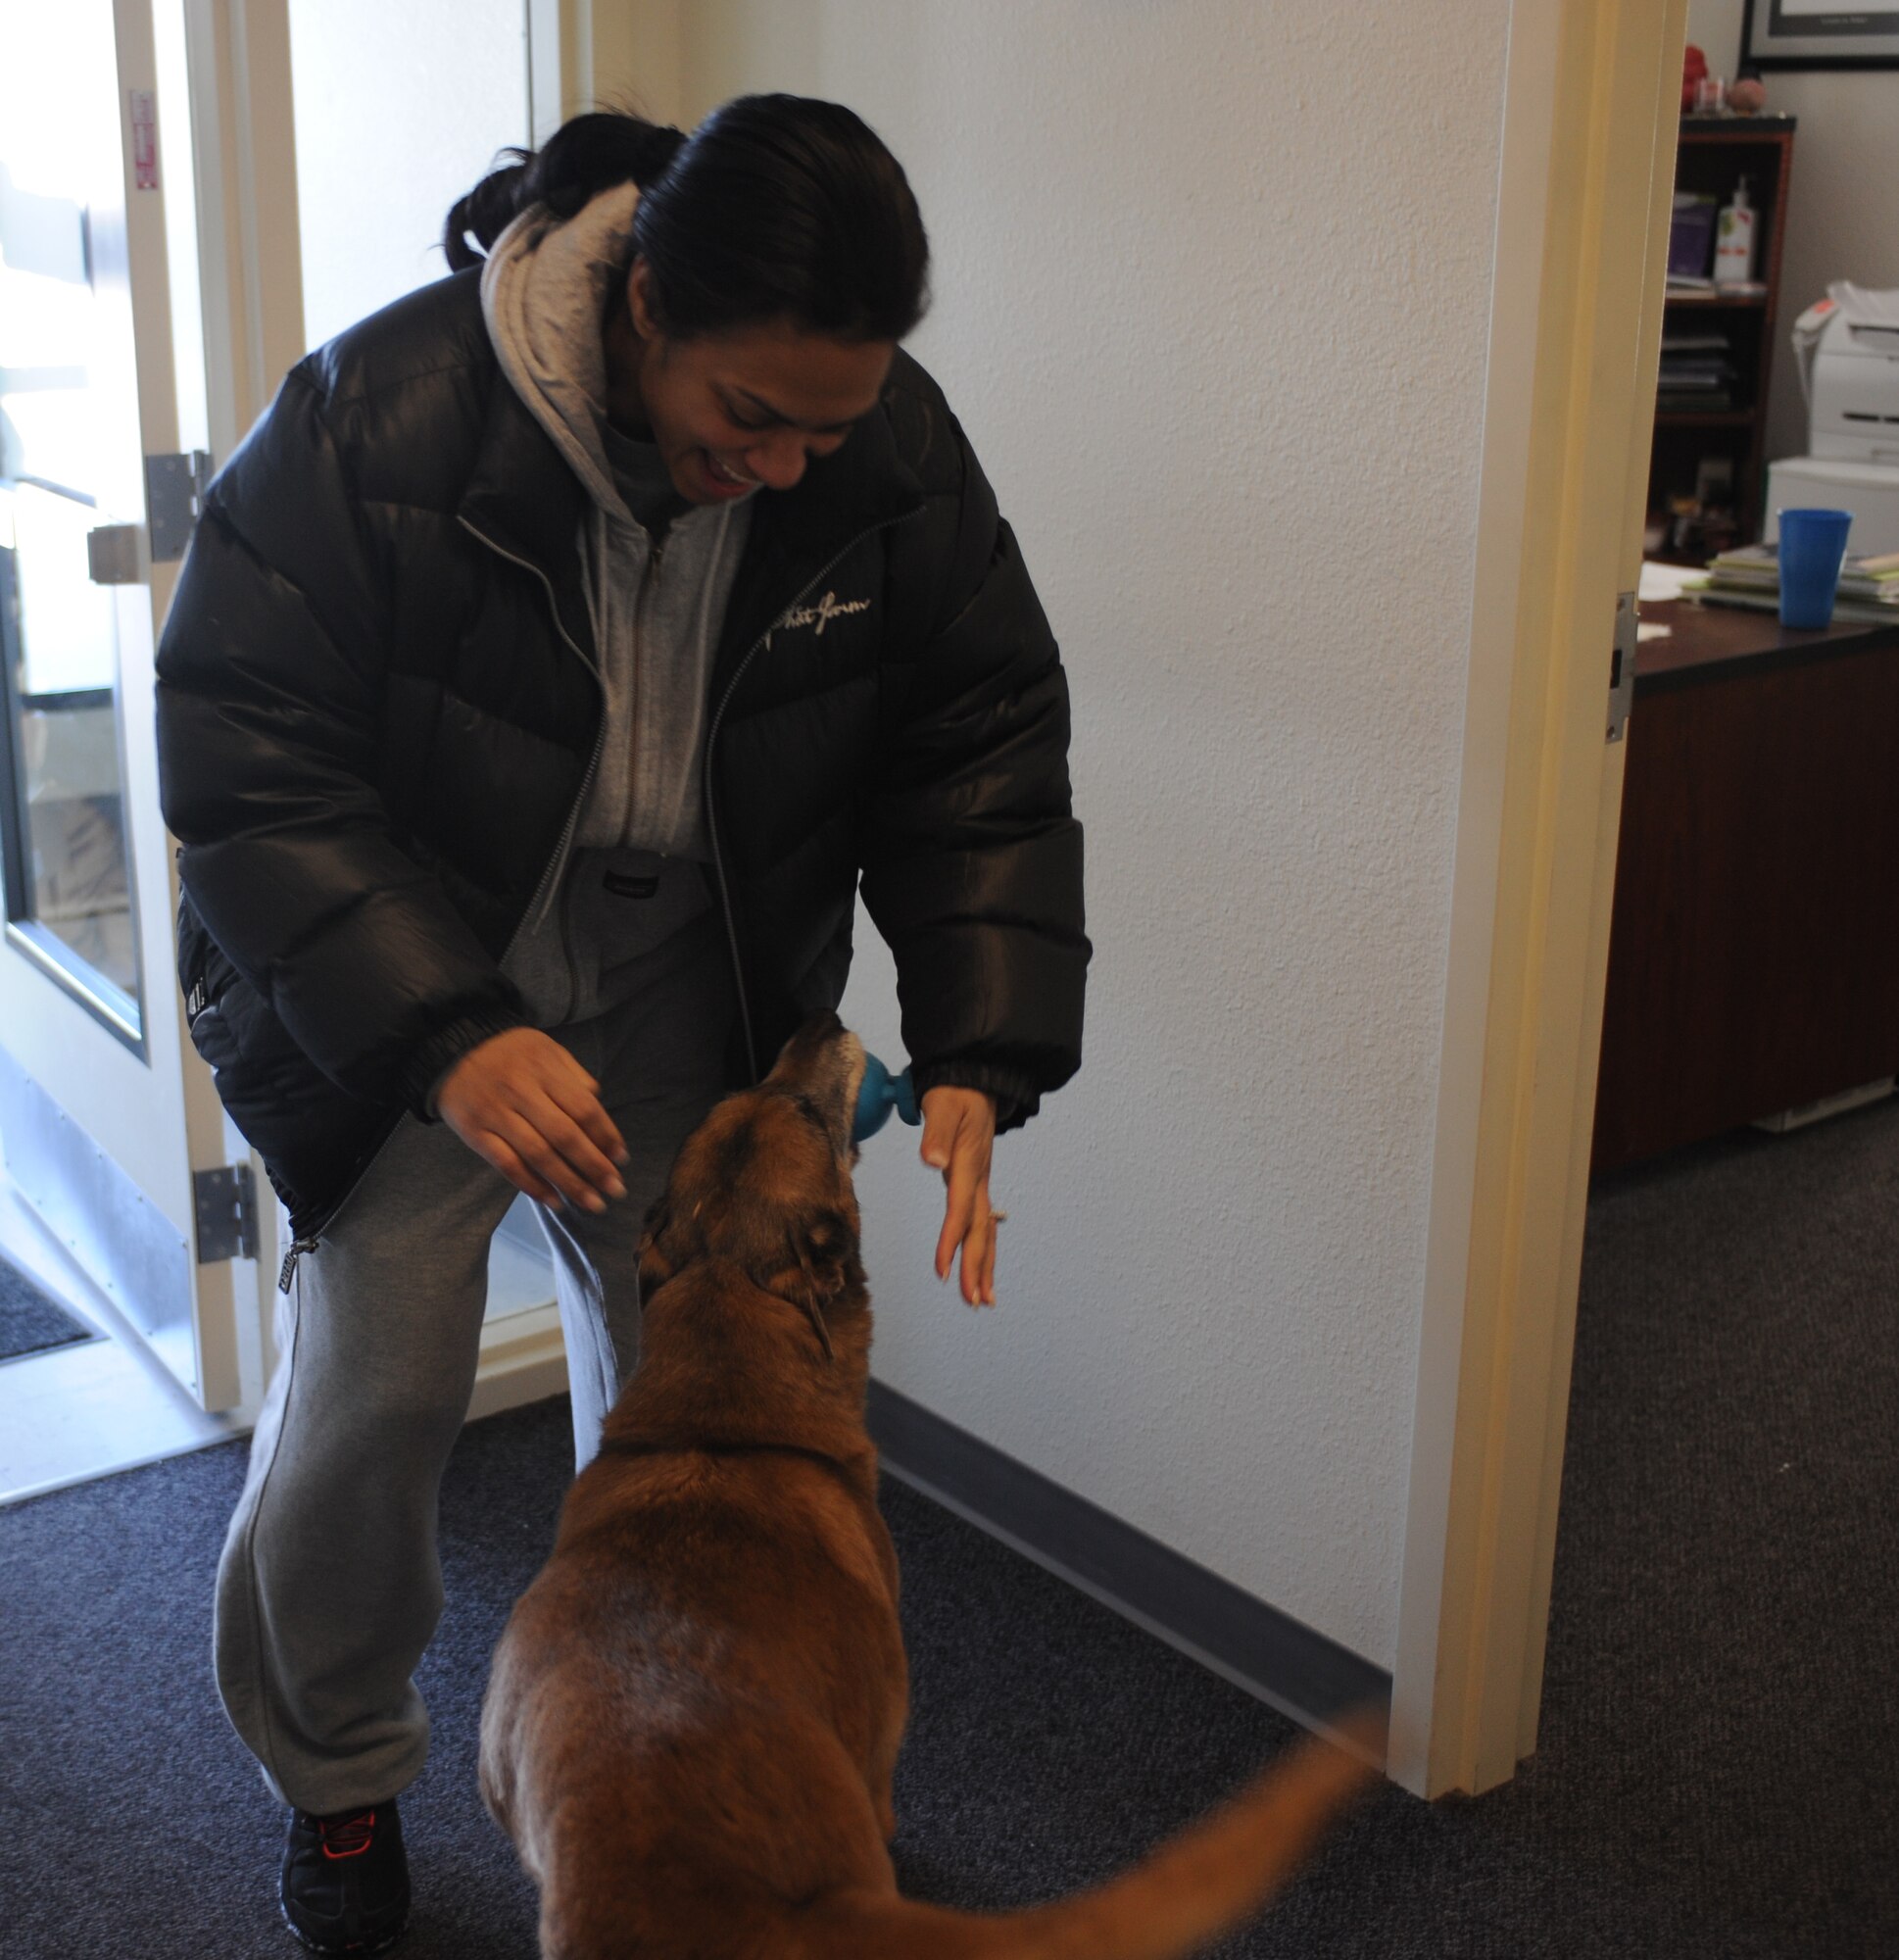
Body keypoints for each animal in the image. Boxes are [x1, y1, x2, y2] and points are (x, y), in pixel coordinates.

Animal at [482, 1019, 1380, 1952]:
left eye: (760, 1094)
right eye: (808, 1113)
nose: (817, 1022)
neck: (720, 1417)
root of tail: (711, 1884)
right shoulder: (883, 1730)